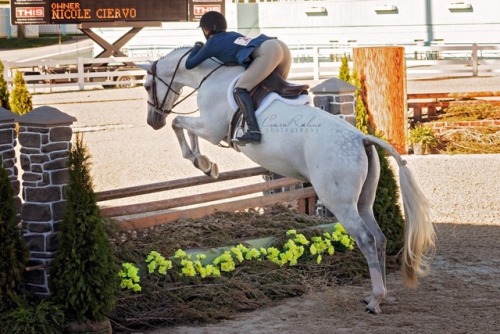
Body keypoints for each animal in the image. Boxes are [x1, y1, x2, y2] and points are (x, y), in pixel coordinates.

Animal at [139, 47, 436, 316]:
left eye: (146, 86)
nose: (153, 121)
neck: (207, 74)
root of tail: (361, 138)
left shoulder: (212, 129)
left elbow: (179, 123)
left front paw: (201, 162)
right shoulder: (209, 128)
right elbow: (184, 127)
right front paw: (207, 166)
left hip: (340, 203)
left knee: (365, 239)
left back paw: (375, 300)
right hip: (363, 202)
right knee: (380, 237)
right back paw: (380, 295)